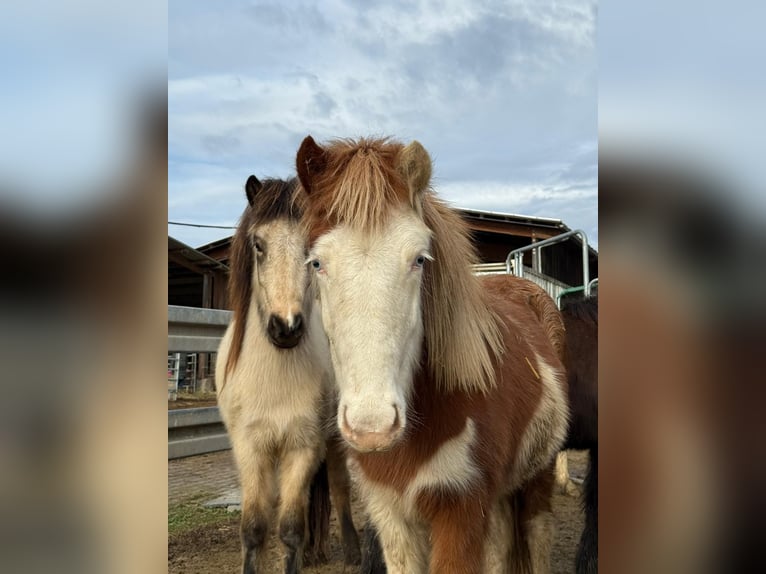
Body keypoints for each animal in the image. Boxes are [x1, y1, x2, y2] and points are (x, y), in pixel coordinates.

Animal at [215, 175, 360, 574]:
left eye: (310, 251)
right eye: (258, 245)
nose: (287, 327)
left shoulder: (303, 446)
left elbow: (291, 528)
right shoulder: (250, 448)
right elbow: (254, 529)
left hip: (334, 441)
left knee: (339, 487)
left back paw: (353, 552)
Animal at [295, 136, 570, 574]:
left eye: (419, 260)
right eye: (317, 262)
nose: (372, 427)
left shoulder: (461, 508)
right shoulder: (390, 514)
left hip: (537, 476)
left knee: (537, 537)